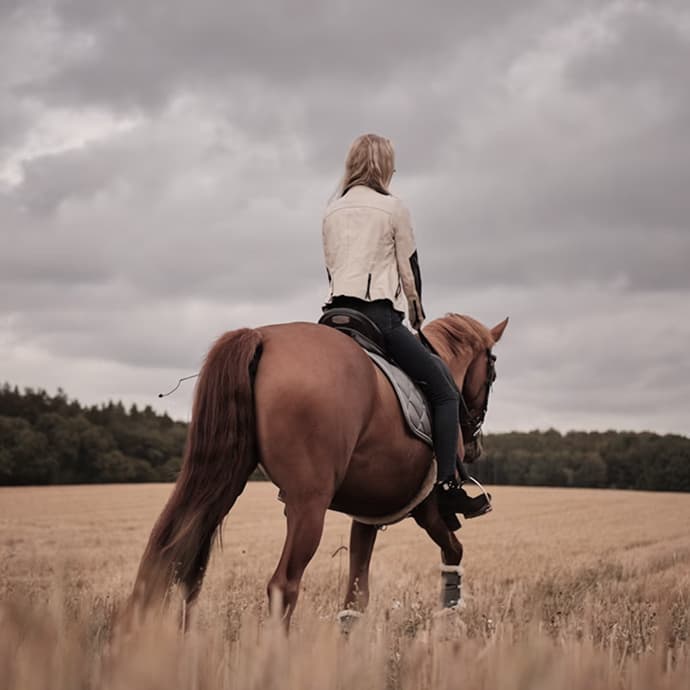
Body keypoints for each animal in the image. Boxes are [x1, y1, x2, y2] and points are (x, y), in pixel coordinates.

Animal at [130, 313, 508, 626]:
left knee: (176, 559)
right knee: (283, 585)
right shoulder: (428, 509)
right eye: (492, 372)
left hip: (226, 476)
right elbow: (454, 550)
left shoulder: (367, 515)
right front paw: (450, 612)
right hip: (309, 503)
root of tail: (261, 337)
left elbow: (356, 595)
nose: (475, 447)